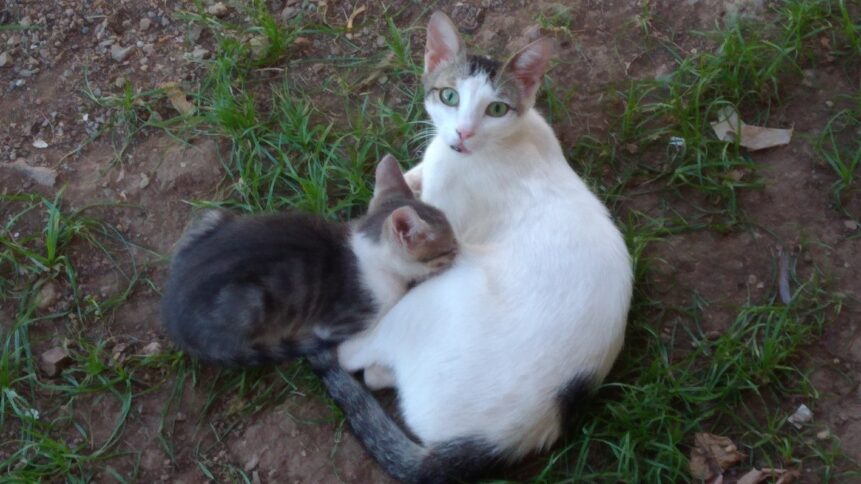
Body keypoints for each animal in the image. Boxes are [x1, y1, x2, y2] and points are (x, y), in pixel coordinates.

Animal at [160, 156, 456, 366]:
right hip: (249, 302)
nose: (459, 249)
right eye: (450, 248)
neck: (366, 252)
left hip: (211, 216)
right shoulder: (341, 322)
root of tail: (173, 321)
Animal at [310, 11, 632, 484]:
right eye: (449, 96)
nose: (462, 132)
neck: (508, 139)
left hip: (425, 304)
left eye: (495, 108)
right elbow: (410, 175)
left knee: (355, 360)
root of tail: (502, 441)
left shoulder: (441, 229)